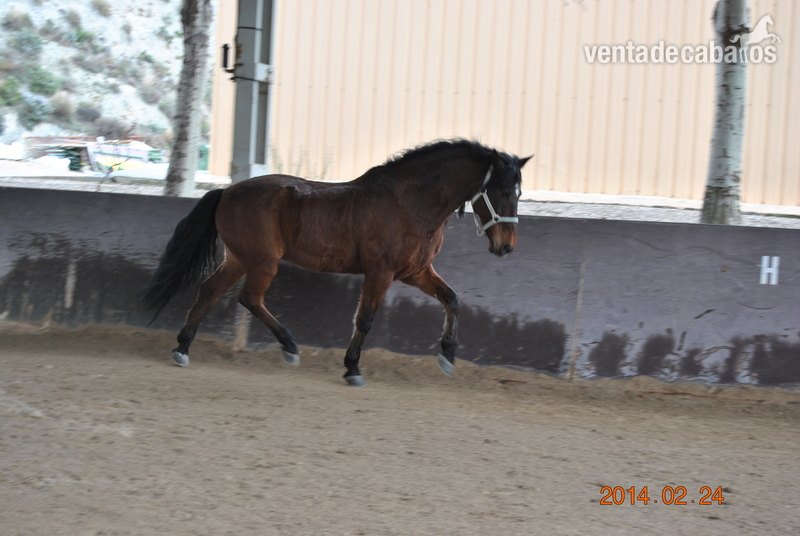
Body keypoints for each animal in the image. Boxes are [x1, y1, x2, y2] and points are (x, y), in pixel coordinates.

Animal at [142, 139, 532, 386]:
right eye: (502, 191)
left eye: (519, 192)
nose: (506, 247)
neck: (410, 204)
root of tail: (228, 191)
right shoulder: (381, 272)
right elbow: (366, 319)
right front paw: (352, 369)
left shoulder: (416, 272)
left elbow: (452, 299)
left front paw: (448, 356)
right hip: (262, 261)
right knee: (249, 298)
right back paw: (289, 348)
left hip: (239, 258)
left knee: (209, 291)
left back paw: (182, 348)